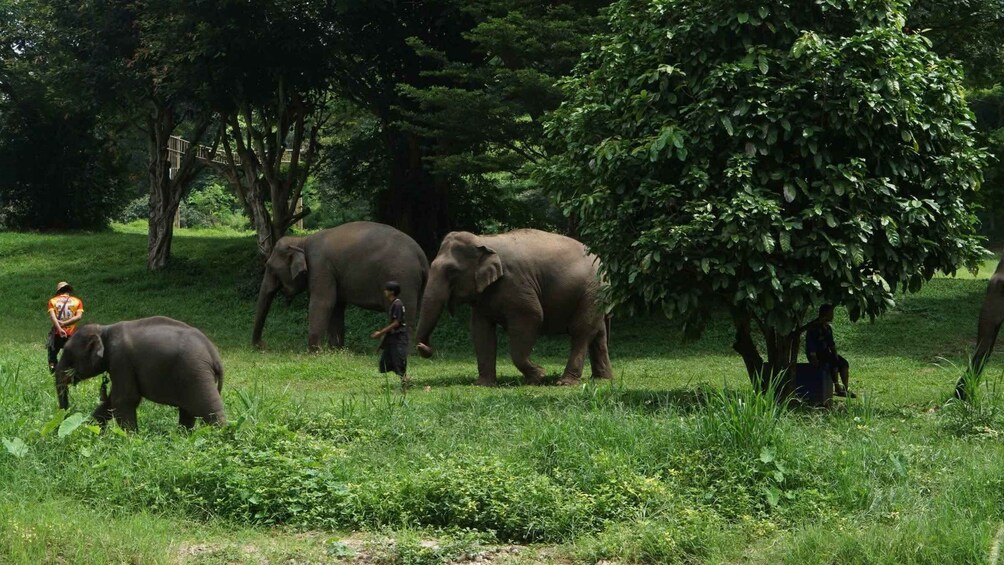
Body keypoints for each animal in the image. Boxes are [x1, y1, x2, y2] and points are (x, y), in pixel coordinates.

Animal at [54, 316, 225, 431]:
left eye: (68, 353)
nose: (63, 419)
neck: (104, 330)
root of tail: (215, 355)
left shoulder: (121, 359)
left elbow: (123, 399)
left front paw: (130, 439)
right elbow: (110, 401)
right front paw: (89, 430)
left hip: (196, 372)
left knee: (210, 410)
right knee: (188, 410)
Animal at [252, 221, 430, 350]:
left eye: (270, 268)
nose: (262, 345)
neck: (302, 241)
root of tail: (422, 256)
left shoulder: (320, 266)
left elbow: (323, 303)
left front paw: (313, 351)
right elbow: (336, 306)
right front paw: (335, 349)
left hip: (403, 278)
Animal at [415, 229, 613, 386]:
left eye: (451, 271)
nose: (424, 346)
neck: (483, 240)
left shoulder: (516, 283)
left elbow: (532, 317)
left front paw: (539, 376)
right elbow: (481, 330)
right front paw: (483, 384)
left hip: (592, 291)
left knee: (580, 331)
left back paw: (565, 382)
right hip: (596, 296)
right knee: (598, 334)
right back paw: (603, 379)